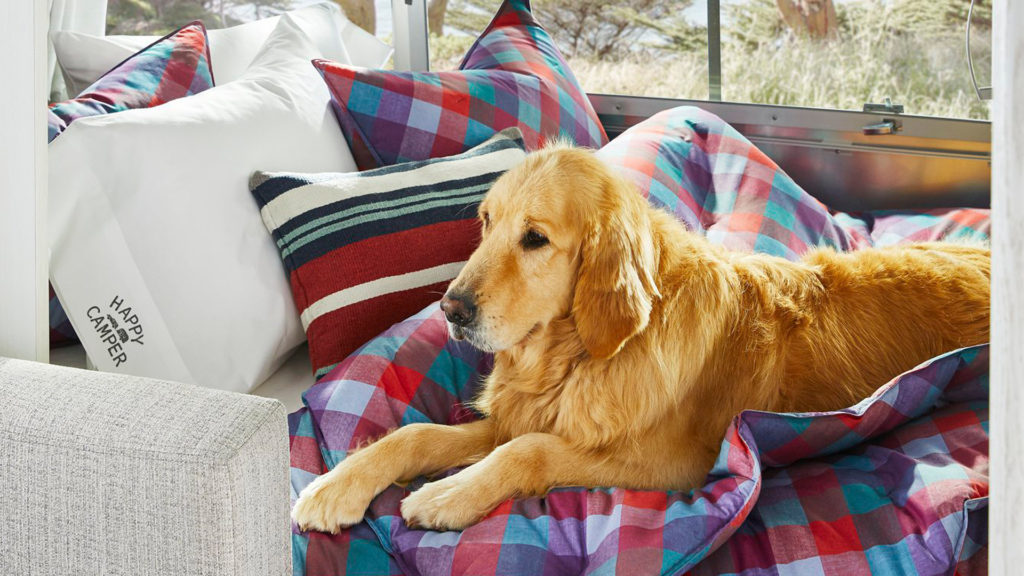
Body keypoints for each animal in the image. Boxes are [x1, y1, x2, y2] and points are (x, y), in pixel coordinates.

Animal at [292, 143, 990, 533]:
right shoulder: (521, 414)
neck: (580, 355)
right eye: (486, 222)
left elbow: (527, 452)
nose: (450, 308)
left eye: (535, 238)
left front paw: (447, 493)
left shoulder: (672, 463)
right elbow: (414, 433)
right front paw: (334, 487)